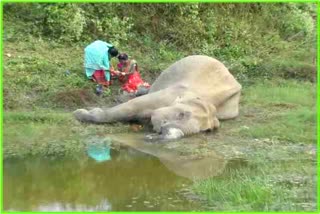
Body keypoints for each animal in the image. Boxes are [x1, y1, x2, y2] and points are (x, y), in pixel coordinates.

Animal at [74, 55, 240, 141]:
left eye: (204, 131)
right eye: (181, 114)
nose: (167, 132)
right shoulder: (173, 92)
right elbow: (132, 106)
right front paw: (79, 114)